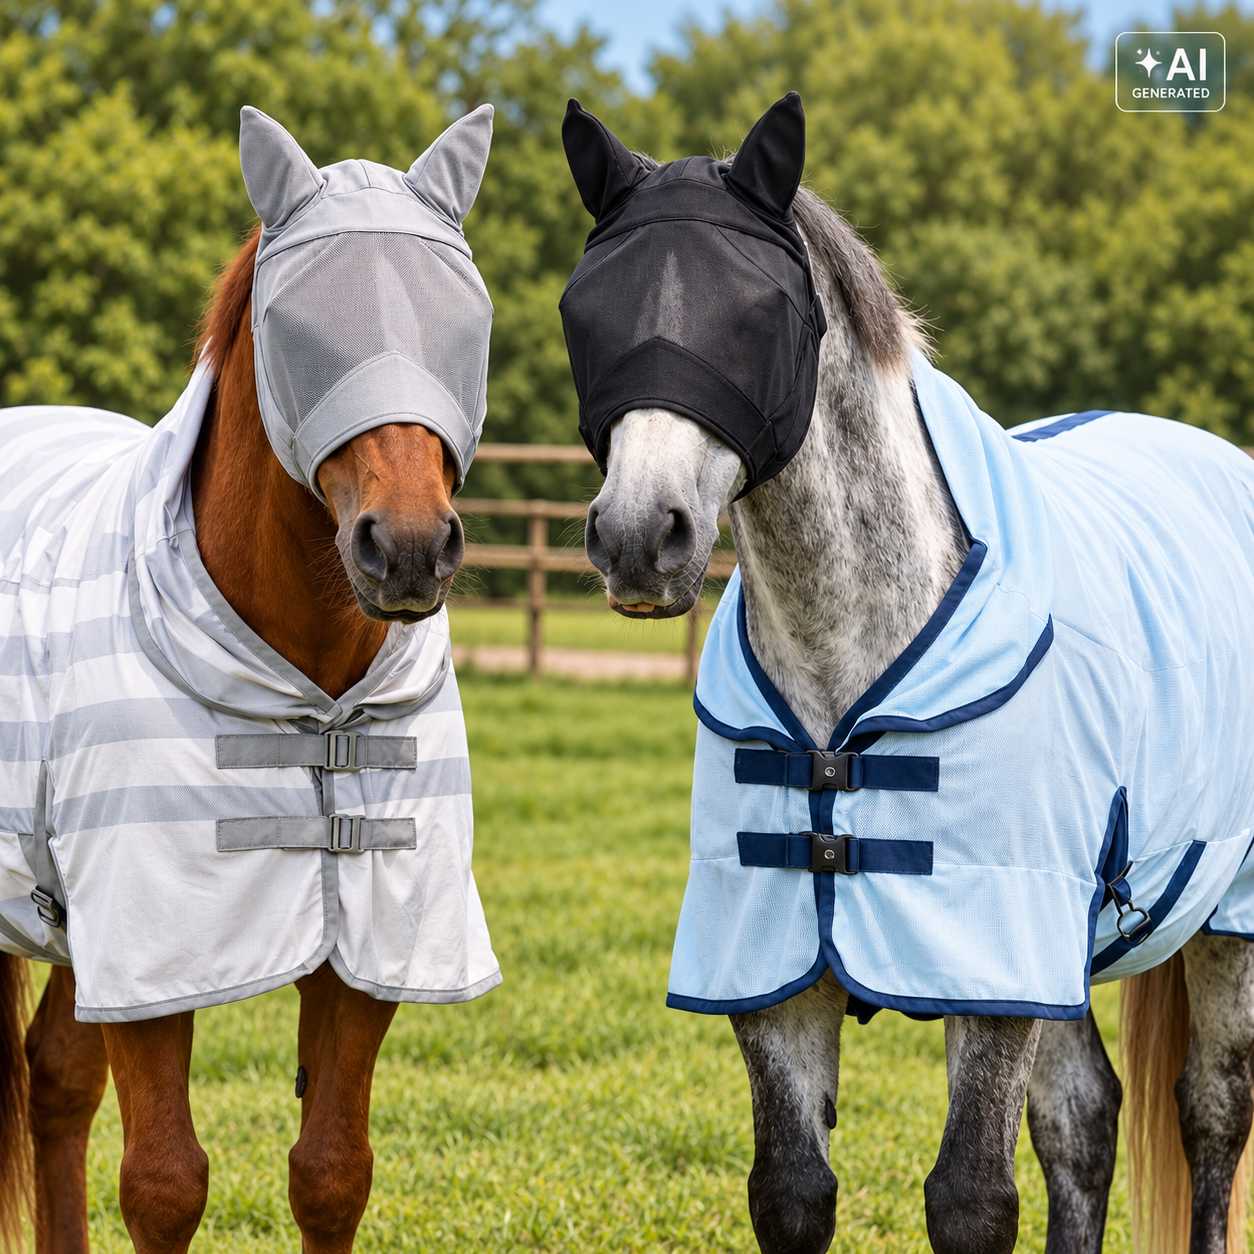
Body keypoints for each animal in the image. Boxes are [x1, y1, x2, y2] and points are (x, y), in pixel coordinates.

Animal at [0, 104, 498, 1252]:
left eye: (465, 322)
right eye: (298, 330)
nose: (410, 548)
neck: (313, 699)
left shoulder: (371, 946)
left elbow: (331, 1171)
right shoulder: (154, 944)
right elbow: (165, 1183)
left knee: (55, 1081)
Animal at [558, 93, 1254, 1253]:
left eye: (759, 312)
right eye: (587, 310)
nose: (638, 537)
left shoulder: (991, 962)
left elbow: (970, 1200)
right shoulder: (778, 974)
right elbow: (792, 1192)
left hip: (1221, 918)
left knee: (1211, 1112)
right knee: (1086, 1123)